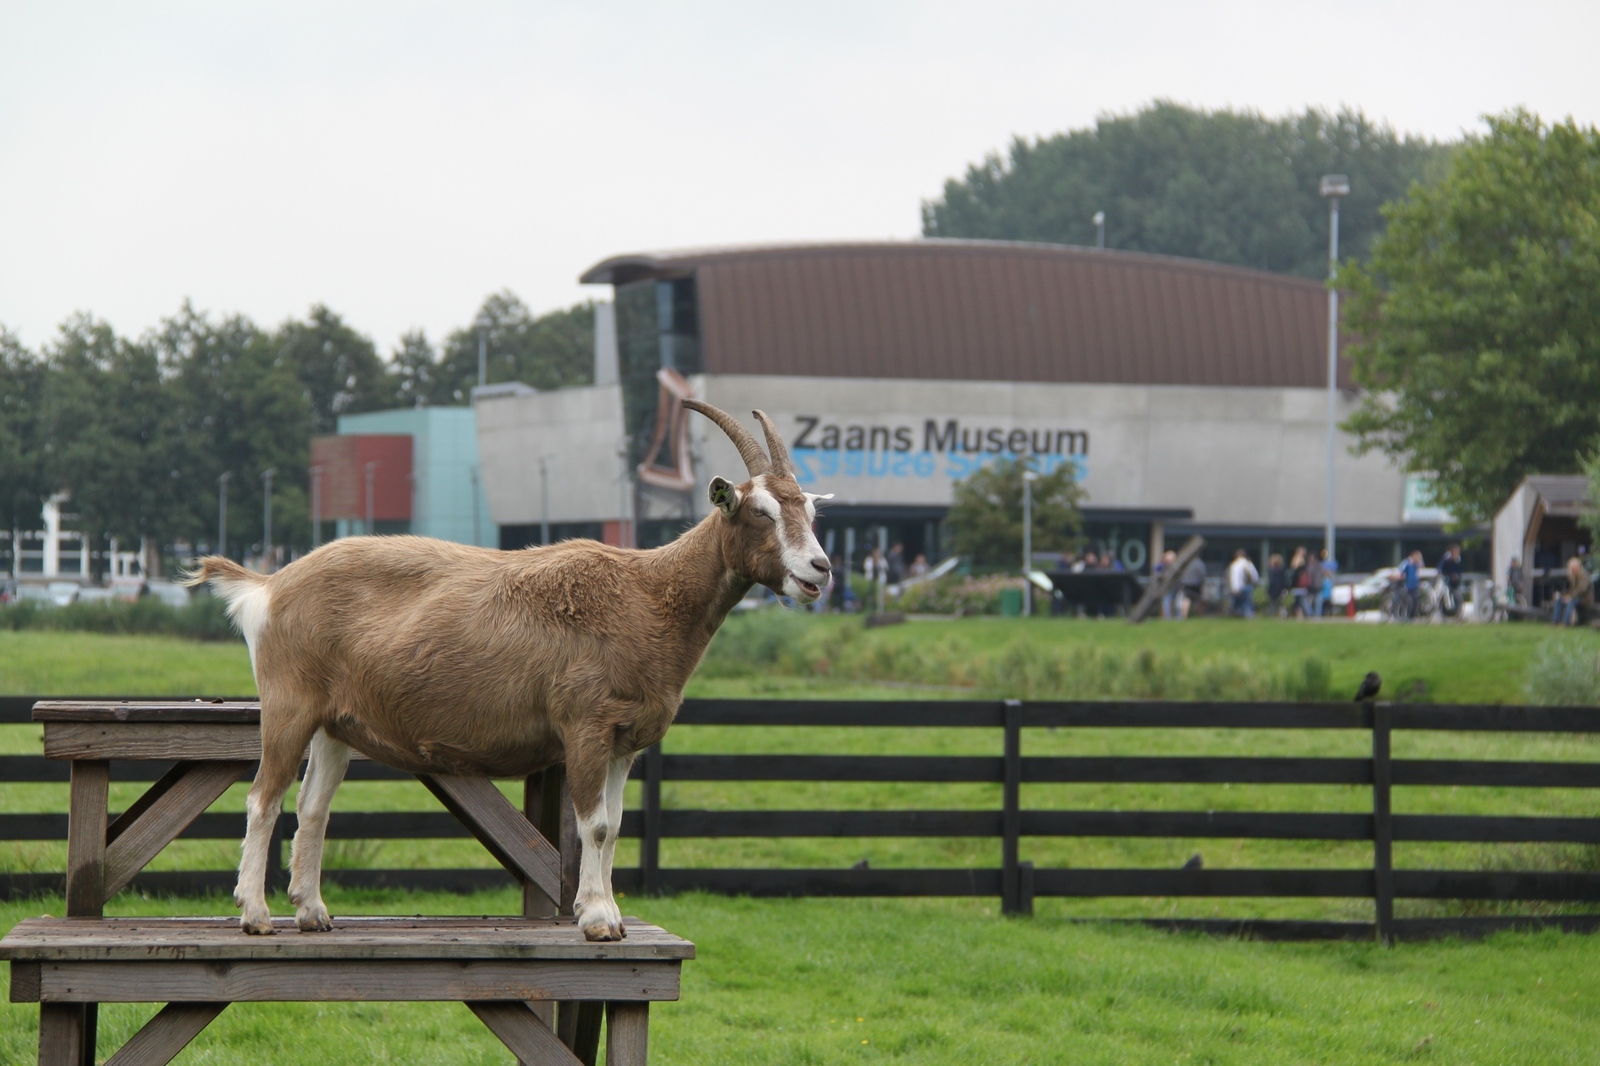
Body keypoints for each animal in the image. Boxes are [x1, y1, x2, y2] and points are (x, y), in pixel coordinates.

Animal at [185, 398, 832, 941]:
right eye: (760, 512)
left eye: (807, 509)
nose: (820, 569)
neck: (650, 595)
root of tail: (269, 586)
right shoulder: (586, 727)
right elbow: (596, 825)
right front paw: (598, 920)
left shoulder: (625, 743)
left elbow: (617, 824)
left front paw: (608, 912)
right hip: (288, 704)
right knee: (263, 799)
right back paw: (256, 914)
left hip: (335, 723)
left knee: (312, 806)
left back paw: (313, 911)